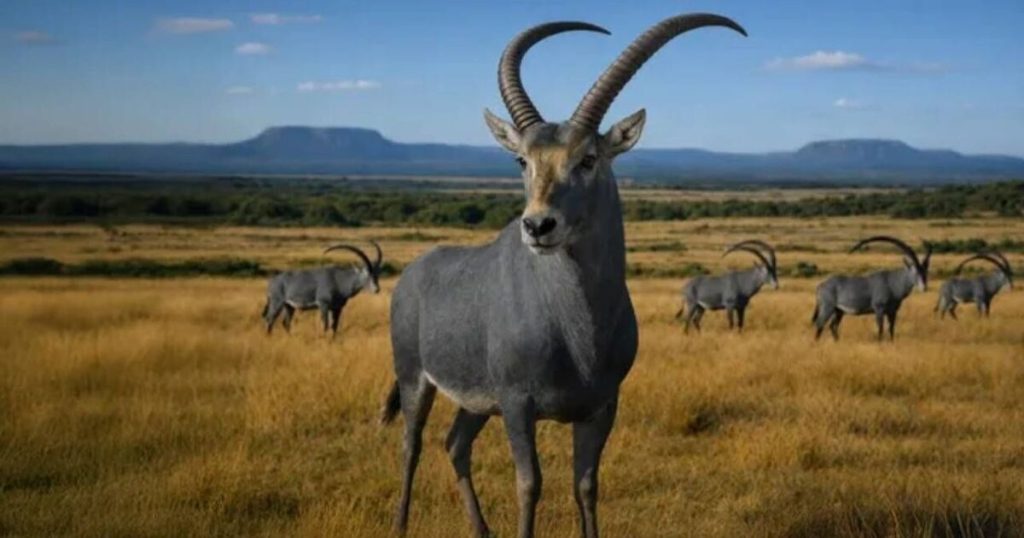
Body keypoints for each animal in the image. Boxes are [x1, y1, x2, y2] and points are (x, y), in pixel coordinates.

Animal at [379, 13, 746, 538]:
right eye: (522, 160)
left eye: (588, 158)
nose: (537, 226)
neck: (576, 327)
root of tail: (414, 273)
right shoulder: (518, 405)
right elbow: (530, 484)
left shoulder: (600, 407)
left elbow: (586, 486)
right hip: (415, 379)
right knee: (411, 446)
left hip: (476, 403)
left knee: (455, 444)